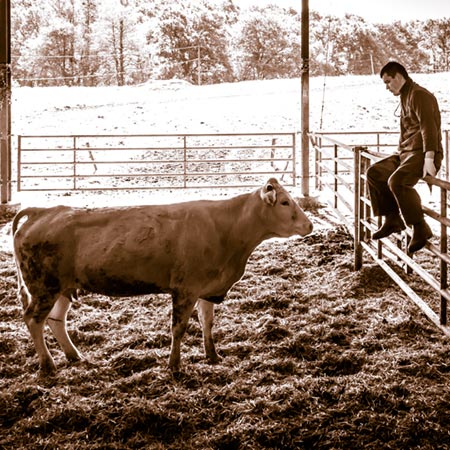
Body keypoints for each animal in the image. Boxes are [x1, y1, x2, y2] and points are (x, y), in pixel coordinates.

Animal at [11, 178, 312, 374]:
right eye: (285, 202)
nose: (309, 225)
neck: (227, 229)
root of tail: (40, 212)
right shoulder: (185, 289)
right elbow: (178, 328)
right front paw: (175, 366)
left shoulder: (207, 288)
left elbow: (207, 323)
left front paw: (212, 355)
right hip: (44, 286)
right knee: (34, 320)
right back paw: (48, 365)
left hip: (63, 287)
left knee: (55, 320)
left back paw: (74, 356)